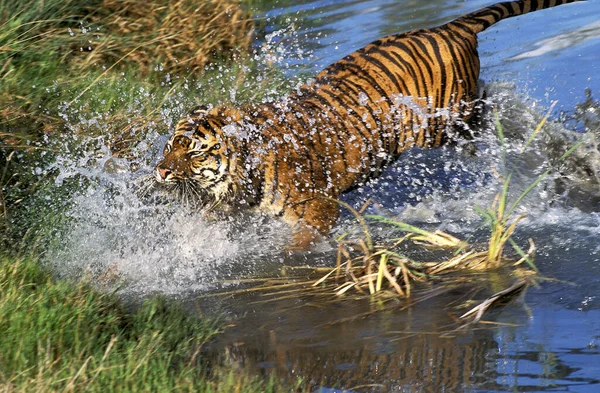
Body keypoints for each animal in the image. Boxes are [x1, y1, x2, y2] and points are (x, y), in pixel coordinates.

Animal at [154, 0, 580, 248]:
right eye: (170, 145)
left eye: (194, 152)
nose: (159, 172)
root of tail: (447, 27)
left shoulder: (319, 207)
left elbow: (298, 245)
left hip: (451, 124)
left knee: (502, 118)